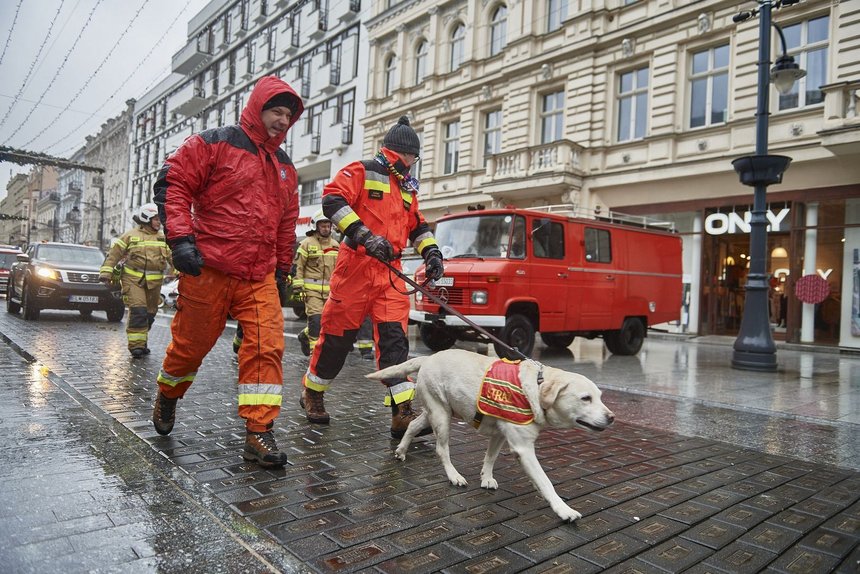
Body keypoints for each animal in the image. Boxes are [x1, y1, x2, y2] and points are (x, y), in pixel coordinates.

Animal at [366, 348, 616, 524]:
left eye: (600, 396)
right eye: (585, 398)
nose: (611, 417)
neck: (535, 388)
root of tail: (428, 358)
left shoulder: (499, 434)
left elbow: (490, 457)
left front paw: (486, 478)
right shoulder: (524, 448)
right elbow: (546, 482)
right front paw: (564, 510)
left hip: (436, 412)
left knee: (412, 426)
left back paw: (401, 450)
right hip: (441, 416)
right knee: (441, 449)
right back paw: (454, 476)